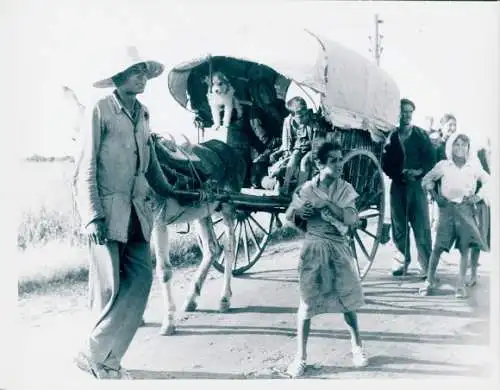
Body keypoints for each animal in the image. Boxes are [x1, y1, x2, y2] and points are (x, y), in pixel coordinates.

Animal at [65, 85, 246, 336]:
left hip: (227, 208)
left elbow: (164, 270)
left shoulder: (158, 222)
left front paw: (168, 321)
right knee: (212, 249)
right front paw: (134, 318)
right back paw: (191, 299)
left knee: (228, 249)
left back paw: (224, 299)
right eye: (73, 138)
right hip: (203, 212)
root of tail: (227, 149)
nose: (79, 181)